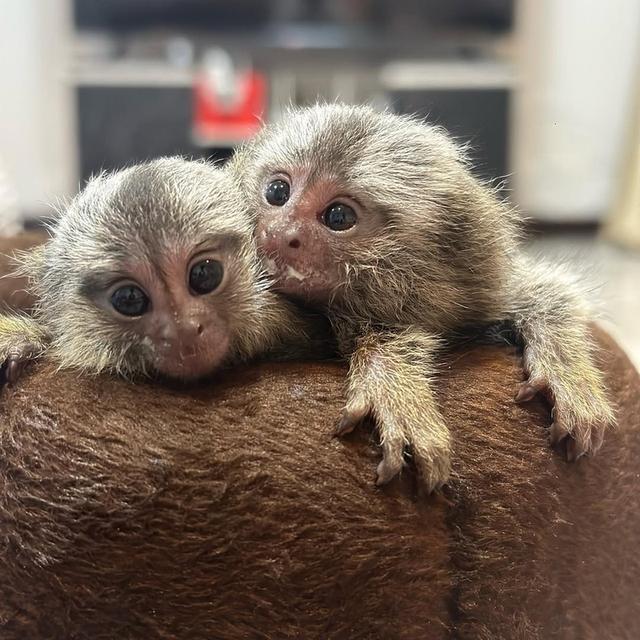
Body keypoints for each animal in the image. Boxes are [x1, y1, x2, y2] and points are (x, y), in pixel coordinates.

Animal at [229, 103, 616, 491]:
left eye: (338, 216)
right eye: (277, 192)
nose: (281, 232)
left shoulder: (486, 288)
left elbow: (547, 293)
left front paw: (566, 371)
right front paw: (393, 381)